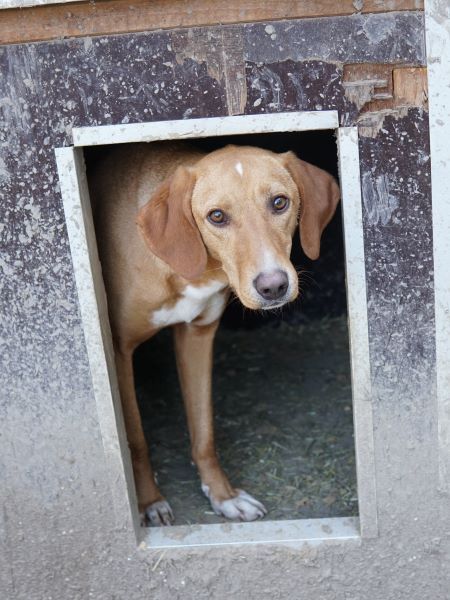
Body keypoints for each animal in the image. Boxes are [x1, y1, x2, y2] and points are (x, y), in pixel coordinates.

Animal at [91, 141, 340, 525]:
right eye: (217, 216)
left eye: (279, 202)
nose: (273, 286)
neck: (188, 272)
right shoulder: (119, 351)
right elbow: (136, 440)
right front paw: (149, 502)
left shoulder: (198, 337)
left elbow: (204, 432)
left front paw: (224, 496)